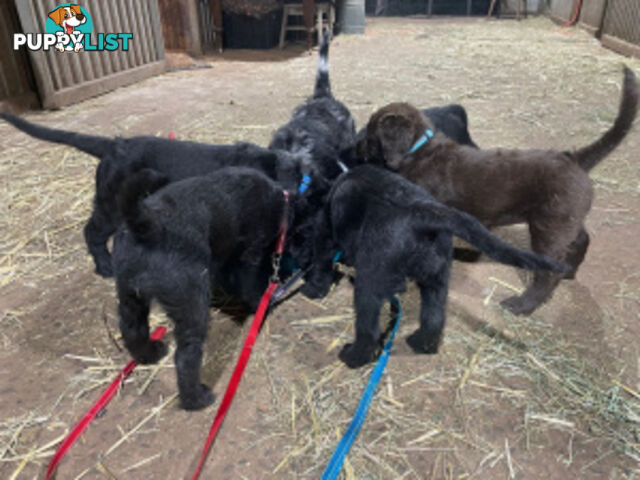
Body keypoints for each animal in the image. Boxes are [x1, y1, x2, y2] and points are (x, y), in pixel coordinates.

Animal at [113, 166, 318, 408]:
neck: (283, 201)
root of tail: (147, 226)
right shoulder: (251, 255)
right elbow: (250, 284)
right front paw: (262, 301)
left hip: (130, 295)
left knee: (132, 328)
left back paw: (149, 355)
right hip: (192, 305)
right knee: (186, 356)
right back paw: (196, 398)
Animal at [302, 165, 564, 368]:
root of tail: (424, 214)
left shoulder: (323, 233)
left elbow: (321, 265)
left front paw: (313, 290)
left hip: (370, 285)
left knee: (369, 331)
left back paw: (352, 357)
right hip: (437, 279)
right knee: (434, 318)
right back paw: (421, 344)